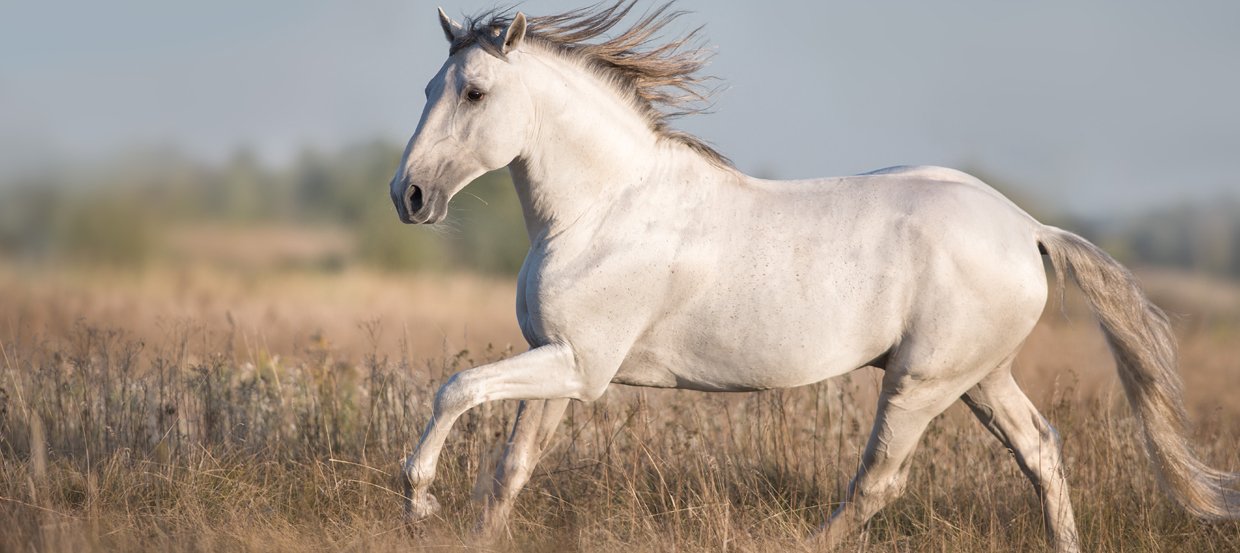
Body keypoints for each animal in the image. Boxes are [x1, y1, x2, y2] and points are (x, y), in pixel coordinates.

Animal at [386, 2, 1240, 550]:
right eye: (427, 88)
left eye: (475, 92)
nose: (409, 196)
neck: (603, 207)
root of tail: (1028, 229)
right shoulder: (561, 366)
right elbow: (510, 469)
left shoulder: (580, 366)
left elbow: (454, 389)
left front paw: (418, 498)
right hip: (978, 377)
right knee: (1040, 449)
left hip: (920, 383)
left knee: (878, 483)